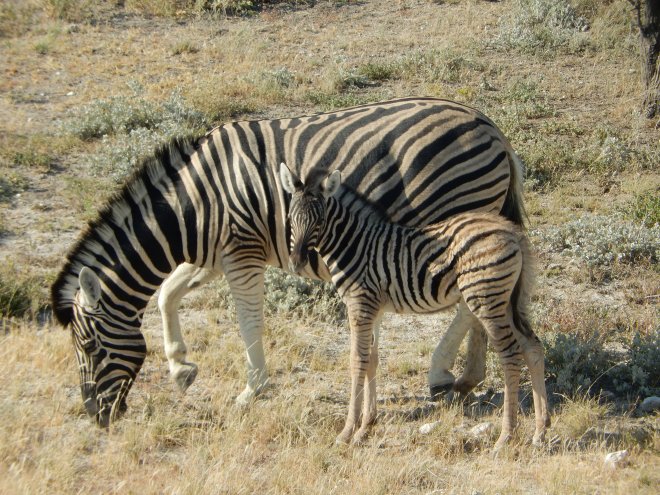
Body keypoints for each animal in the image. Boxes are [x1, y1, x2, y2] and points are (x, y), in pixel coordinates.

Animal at [51, 97, 526, 426]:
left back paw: (441, 371)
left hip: (452, 220)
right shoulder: (214, 255)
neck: (195, 207)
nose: (96, 416)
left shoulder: (242, 251)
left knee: (468, 302)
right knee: (476, 305)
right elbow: (168, 293)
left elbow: (249, 322)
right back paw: (467, 376)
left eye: (90, 348)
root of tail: (493, 129)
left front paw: (252, 389)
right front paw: (181, 366)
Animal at [280, 163, 549, 449]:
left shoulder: (360, 304)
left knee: (510, 355)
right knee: (532, 348)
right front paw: (366, 427)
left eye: (319, 221)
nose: (296, 263)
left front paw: (347, 432)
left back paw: (506, 436)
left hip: (487, 298)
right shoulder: (375, 309)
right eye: (290, 218)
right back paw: (540, 431)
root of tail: (512, 232)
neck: (354, 245)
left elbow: (357, 360)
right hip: (510, 300)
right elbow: (372, 360)